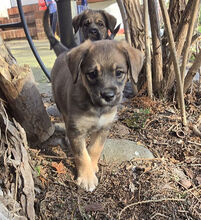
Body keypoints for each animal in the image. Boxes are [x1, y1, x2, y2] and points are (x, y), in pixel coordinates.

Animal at [51, 39, 144, 191]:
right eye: (92, 74)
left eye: (119, 73)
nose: (108, 96)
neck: (96, 107)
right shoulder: (76, 130)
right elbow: (82, 154)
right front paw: (87, 178)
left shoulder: (104, 127)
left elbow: (95, 149)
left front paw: (92, 166)